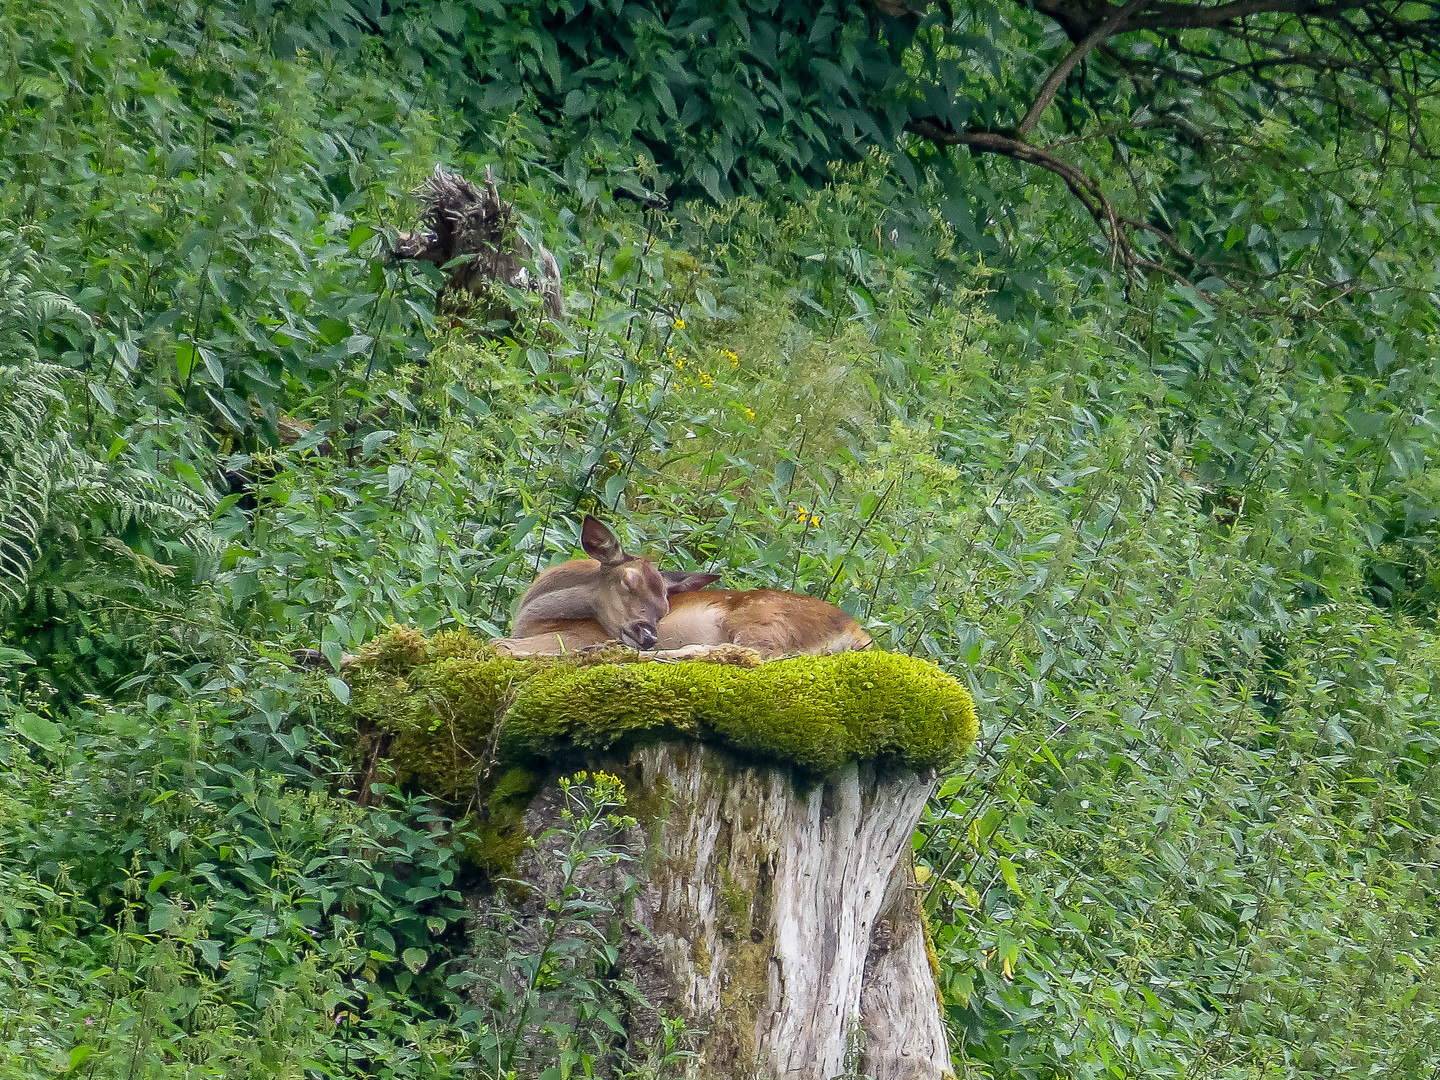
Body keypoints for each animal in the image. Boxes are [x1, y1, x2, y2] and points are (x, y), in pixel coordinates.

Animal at [495, 515, 869, 659]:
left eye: (665, 607)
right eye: (628, 580)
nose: (648, 635)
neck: (530, 618)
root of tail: (857, 633)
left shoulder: (578, 633)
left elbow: (497, 643)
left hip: (765, 623)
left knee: (750, 653)